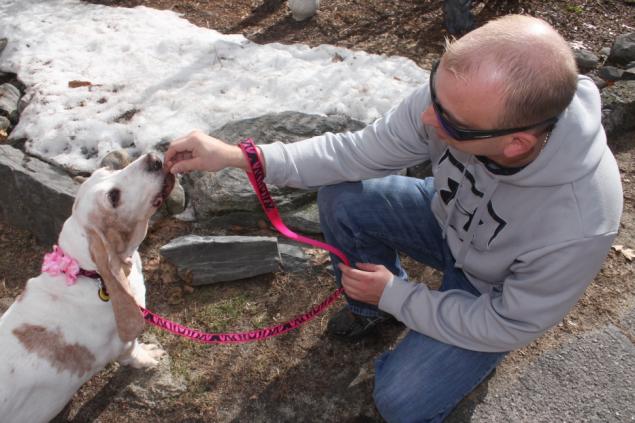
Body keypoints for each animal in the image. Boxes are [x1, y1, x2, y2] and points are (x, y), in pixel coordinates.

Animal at [0, 152, 174, 423]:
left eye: (107, 169)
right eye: (113, 197)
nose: (154, 158)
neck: (87, 273)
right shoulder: (123, 344)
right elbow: (133, 353)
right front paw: (148, 357)